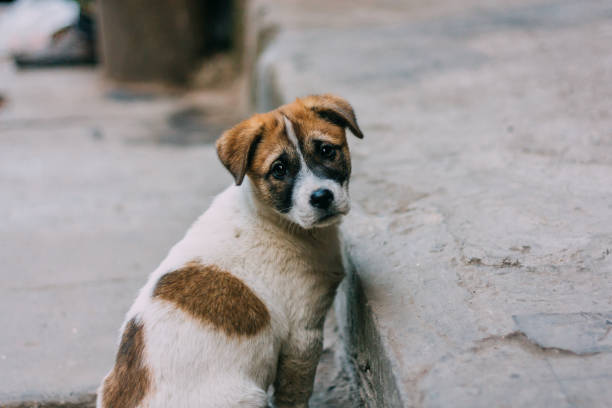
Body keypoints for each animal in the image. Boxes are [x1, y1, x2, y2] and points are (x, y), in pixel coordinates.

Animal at [97, 95, 360, 408]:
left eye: (326, 151)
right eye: (279, 169)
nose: (321, 197)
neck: (275, 220)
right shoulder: (302, 335)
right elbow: (294, 394)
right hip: (248, 396)